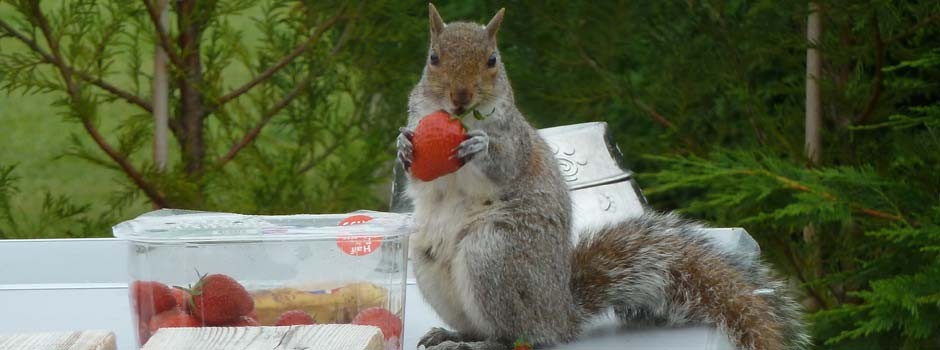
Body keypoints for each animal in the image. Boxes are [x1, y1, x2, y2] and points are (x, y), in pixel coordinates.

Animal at [396, 3, 808, 350]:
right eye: (433, 58)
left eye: (492, 60)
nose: (461, 96)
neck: (462, 121)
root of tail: (560, 314)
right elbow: (418, 177)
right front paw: (404, 147)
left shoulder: (515, 140)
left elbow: (506, 163)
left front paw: (480, 147)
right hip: (431, 265)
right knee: (488, 327)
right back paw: (452, 334)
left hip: (493, 257)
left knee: (517, 335)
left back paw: (481, 342)